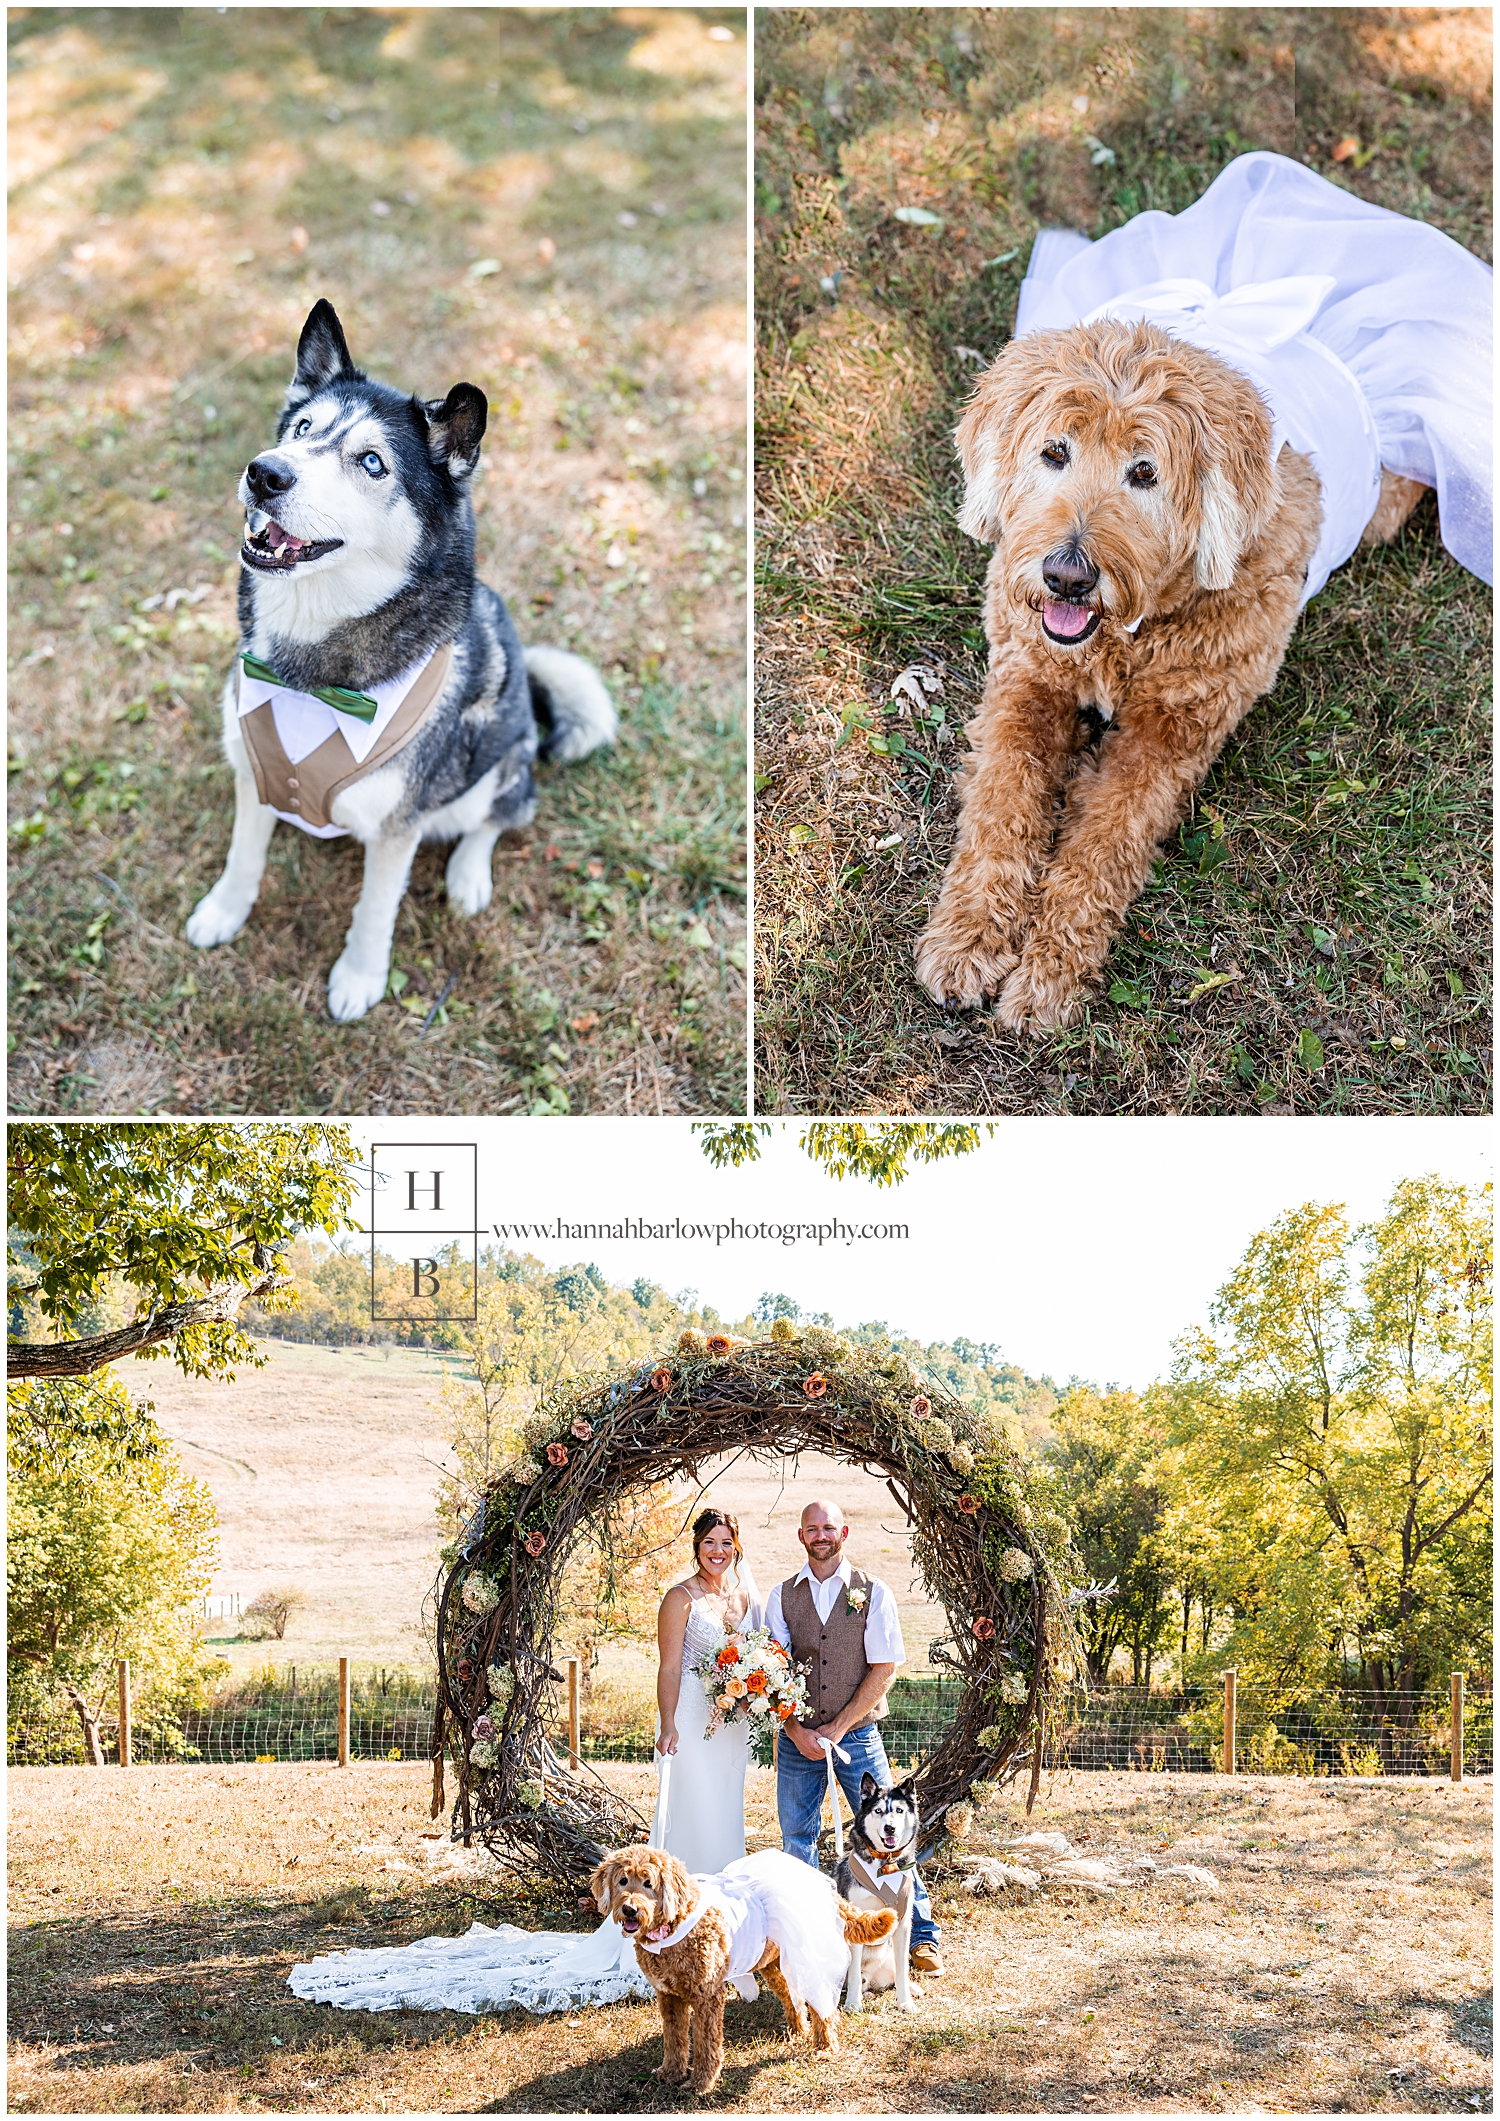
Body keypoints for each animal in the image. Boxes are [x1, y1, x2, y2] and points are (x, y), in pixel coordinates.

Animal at [188, 299, 615, 1018]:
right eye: (302, 429)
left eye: (372, 463)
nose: (264, 472)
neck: (309, 677)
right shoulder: (252, 775)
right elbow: (244, 857)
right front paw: (225, 911)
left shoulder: (397, 829)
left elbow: (374, 909)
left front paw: (360, 977)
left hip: (500, 765)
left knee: (499, 815)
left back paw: (469, 876)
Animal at [589, 1849, 899, 2095]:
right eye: (622, 1881)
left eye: (648, 1883)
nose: (630, 1909)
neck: (675, 1925)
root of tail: (828, 1892)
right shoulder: (669, 1997)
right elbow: (674, 2040)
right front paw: (671, 2073)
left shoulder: (707, 1997)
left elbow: (705, 2044)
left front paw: (701, 2083)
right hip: (774, 1965)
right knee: (793, 1999)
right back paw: (796, 2031)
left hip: (809, 1960)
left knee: (823, 2007)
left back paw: (824, 2045)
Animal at [840, 1764, 920, 2010]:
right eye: (878, 1811)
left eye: (899, 1810)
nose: (890, 1828)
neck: (885, 1864)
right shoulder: (855, 1923)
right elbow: (854, 1974)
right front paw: (853, 2004)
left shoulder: (902, 1925)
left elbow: (903, 1970)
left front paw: (905, 2002)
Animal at [908, 316, 1425, 1035]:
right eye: (1055, 452)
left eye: (1145, 471)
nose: (1066, 576)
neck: (1127, 633)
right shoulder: (1027, 681)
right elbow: (1002, 807)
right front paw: (968, 938)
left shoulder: (1168, 735)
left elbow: (1103, 846)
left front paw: (1048, 974)